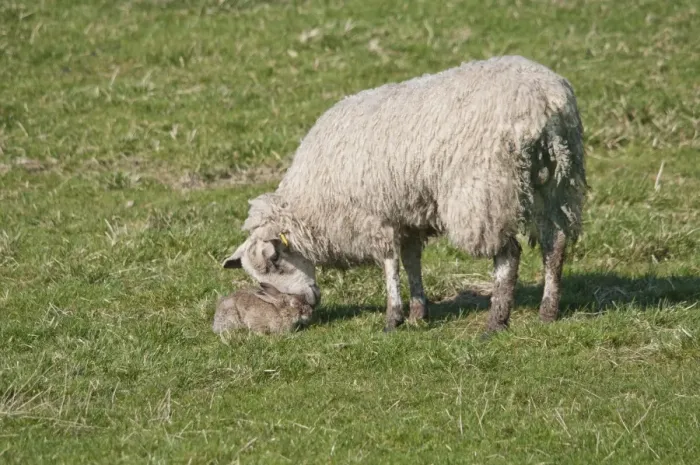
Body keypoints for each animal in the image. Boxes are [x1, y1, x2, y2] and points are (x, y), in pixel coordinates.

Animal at [222, 55, 587, 333]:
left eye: (274, 261)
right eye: (261, 284)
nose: (306, 304)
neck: (310, 204)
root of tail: (543, 101)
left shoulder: (373, 216)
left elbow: (389, 264)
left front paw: (393, 316)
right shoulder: (409, 213)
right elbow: (412, 261)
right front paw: (417, 313)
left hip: (485, 192)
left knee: (508, 254)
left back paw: (496, 320)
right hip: (558, 182)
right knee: (555, 243)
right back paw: (548, 311)